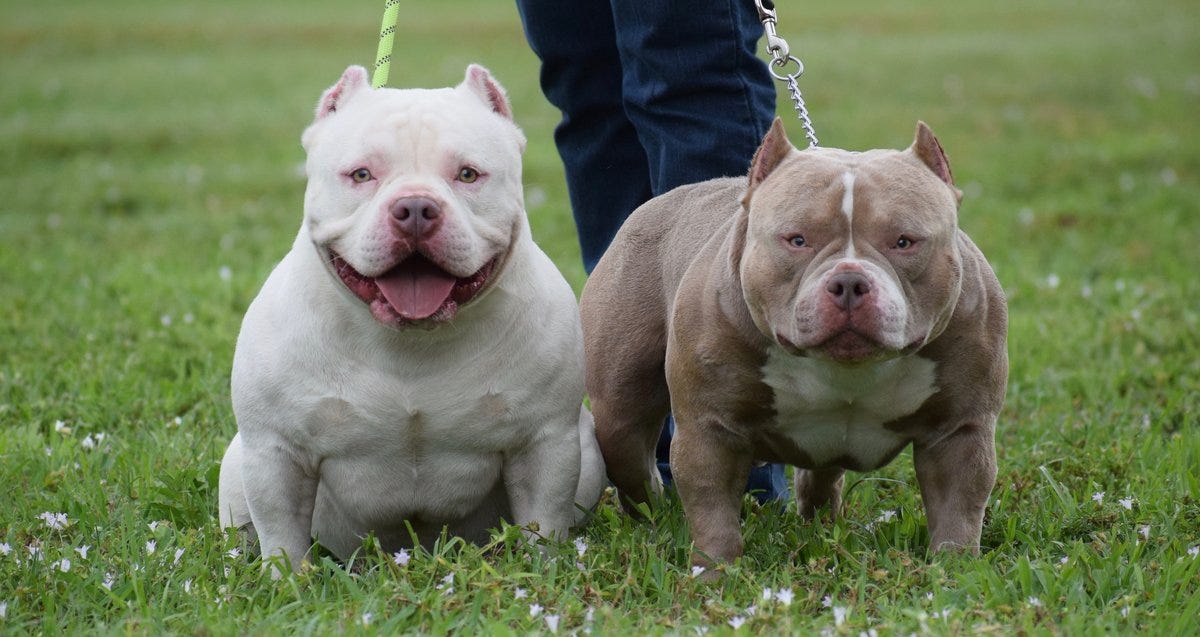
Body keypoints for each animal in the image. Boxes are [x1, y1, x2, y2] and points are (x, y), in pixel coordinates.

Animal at [218, 65, 600, 573]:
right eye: (361, 174)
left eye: (468, 174)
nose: (416, 207)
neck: (411, 342)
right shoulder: (277, 452)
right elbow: (283, 538)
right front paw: (286, 581)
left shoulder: (544, 443)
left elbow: (544, 524)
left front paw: (544, 572)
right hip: (237, 465)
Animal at [578, 119, 1003, 568]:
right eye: (797, 240)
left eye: (904, 241)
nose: (849, 281)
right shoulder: (710, 429)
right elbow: (712, 510)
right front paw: (715, 570)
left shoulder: (960, 430)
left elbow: (958, 508)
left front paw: (954, 569)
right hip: (620, 414)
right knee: (633, 466)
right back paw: (652, 522)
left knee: (821, 476)